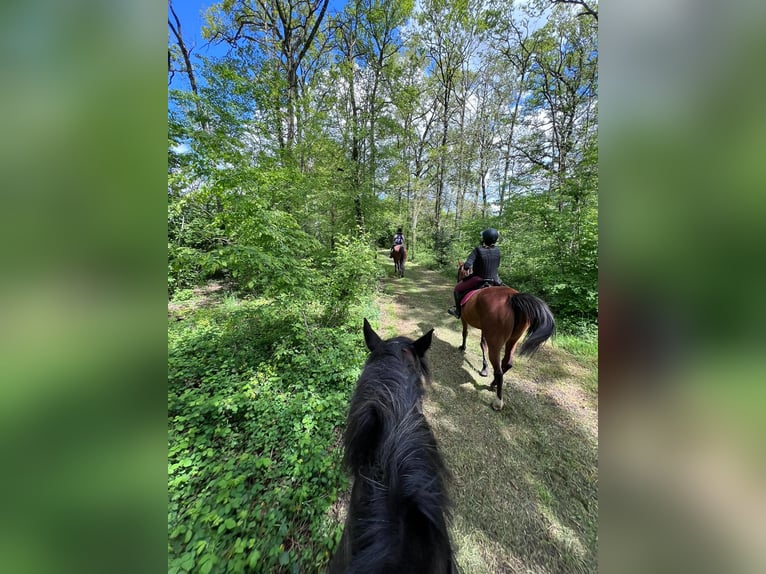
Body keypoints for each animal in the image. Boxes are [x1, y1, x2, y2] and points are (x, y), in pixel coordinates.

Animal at [456, 264, 560, 412]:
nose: (458, 279)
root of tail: (512, 297)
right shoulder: (484, 330)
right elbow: (482, 344)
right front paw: (484, 368)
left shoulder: (464, 319)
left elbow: (465, 334)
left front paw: (463, 347)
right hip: (513, 339)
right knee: (508, 362)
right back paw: (493, 383)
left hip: (495, 341)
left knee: (499, 370)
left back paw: (498, 401)